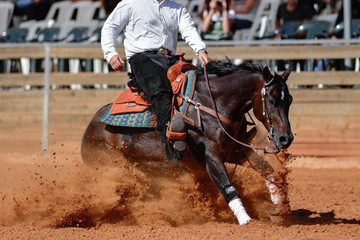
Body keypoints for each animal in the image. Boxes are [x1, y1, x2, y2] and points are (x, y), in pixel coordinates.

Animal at [81, 59, 292, 226]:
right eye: (271, 100)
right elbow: (227, 186)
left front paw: (277, 208)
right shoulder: (210, 155)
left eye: (289, 99)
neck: (213, 105)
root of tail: (90, 127)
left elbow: (266, 169)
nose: (286, 138)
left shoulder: (235, 151)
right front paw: (247, 221)